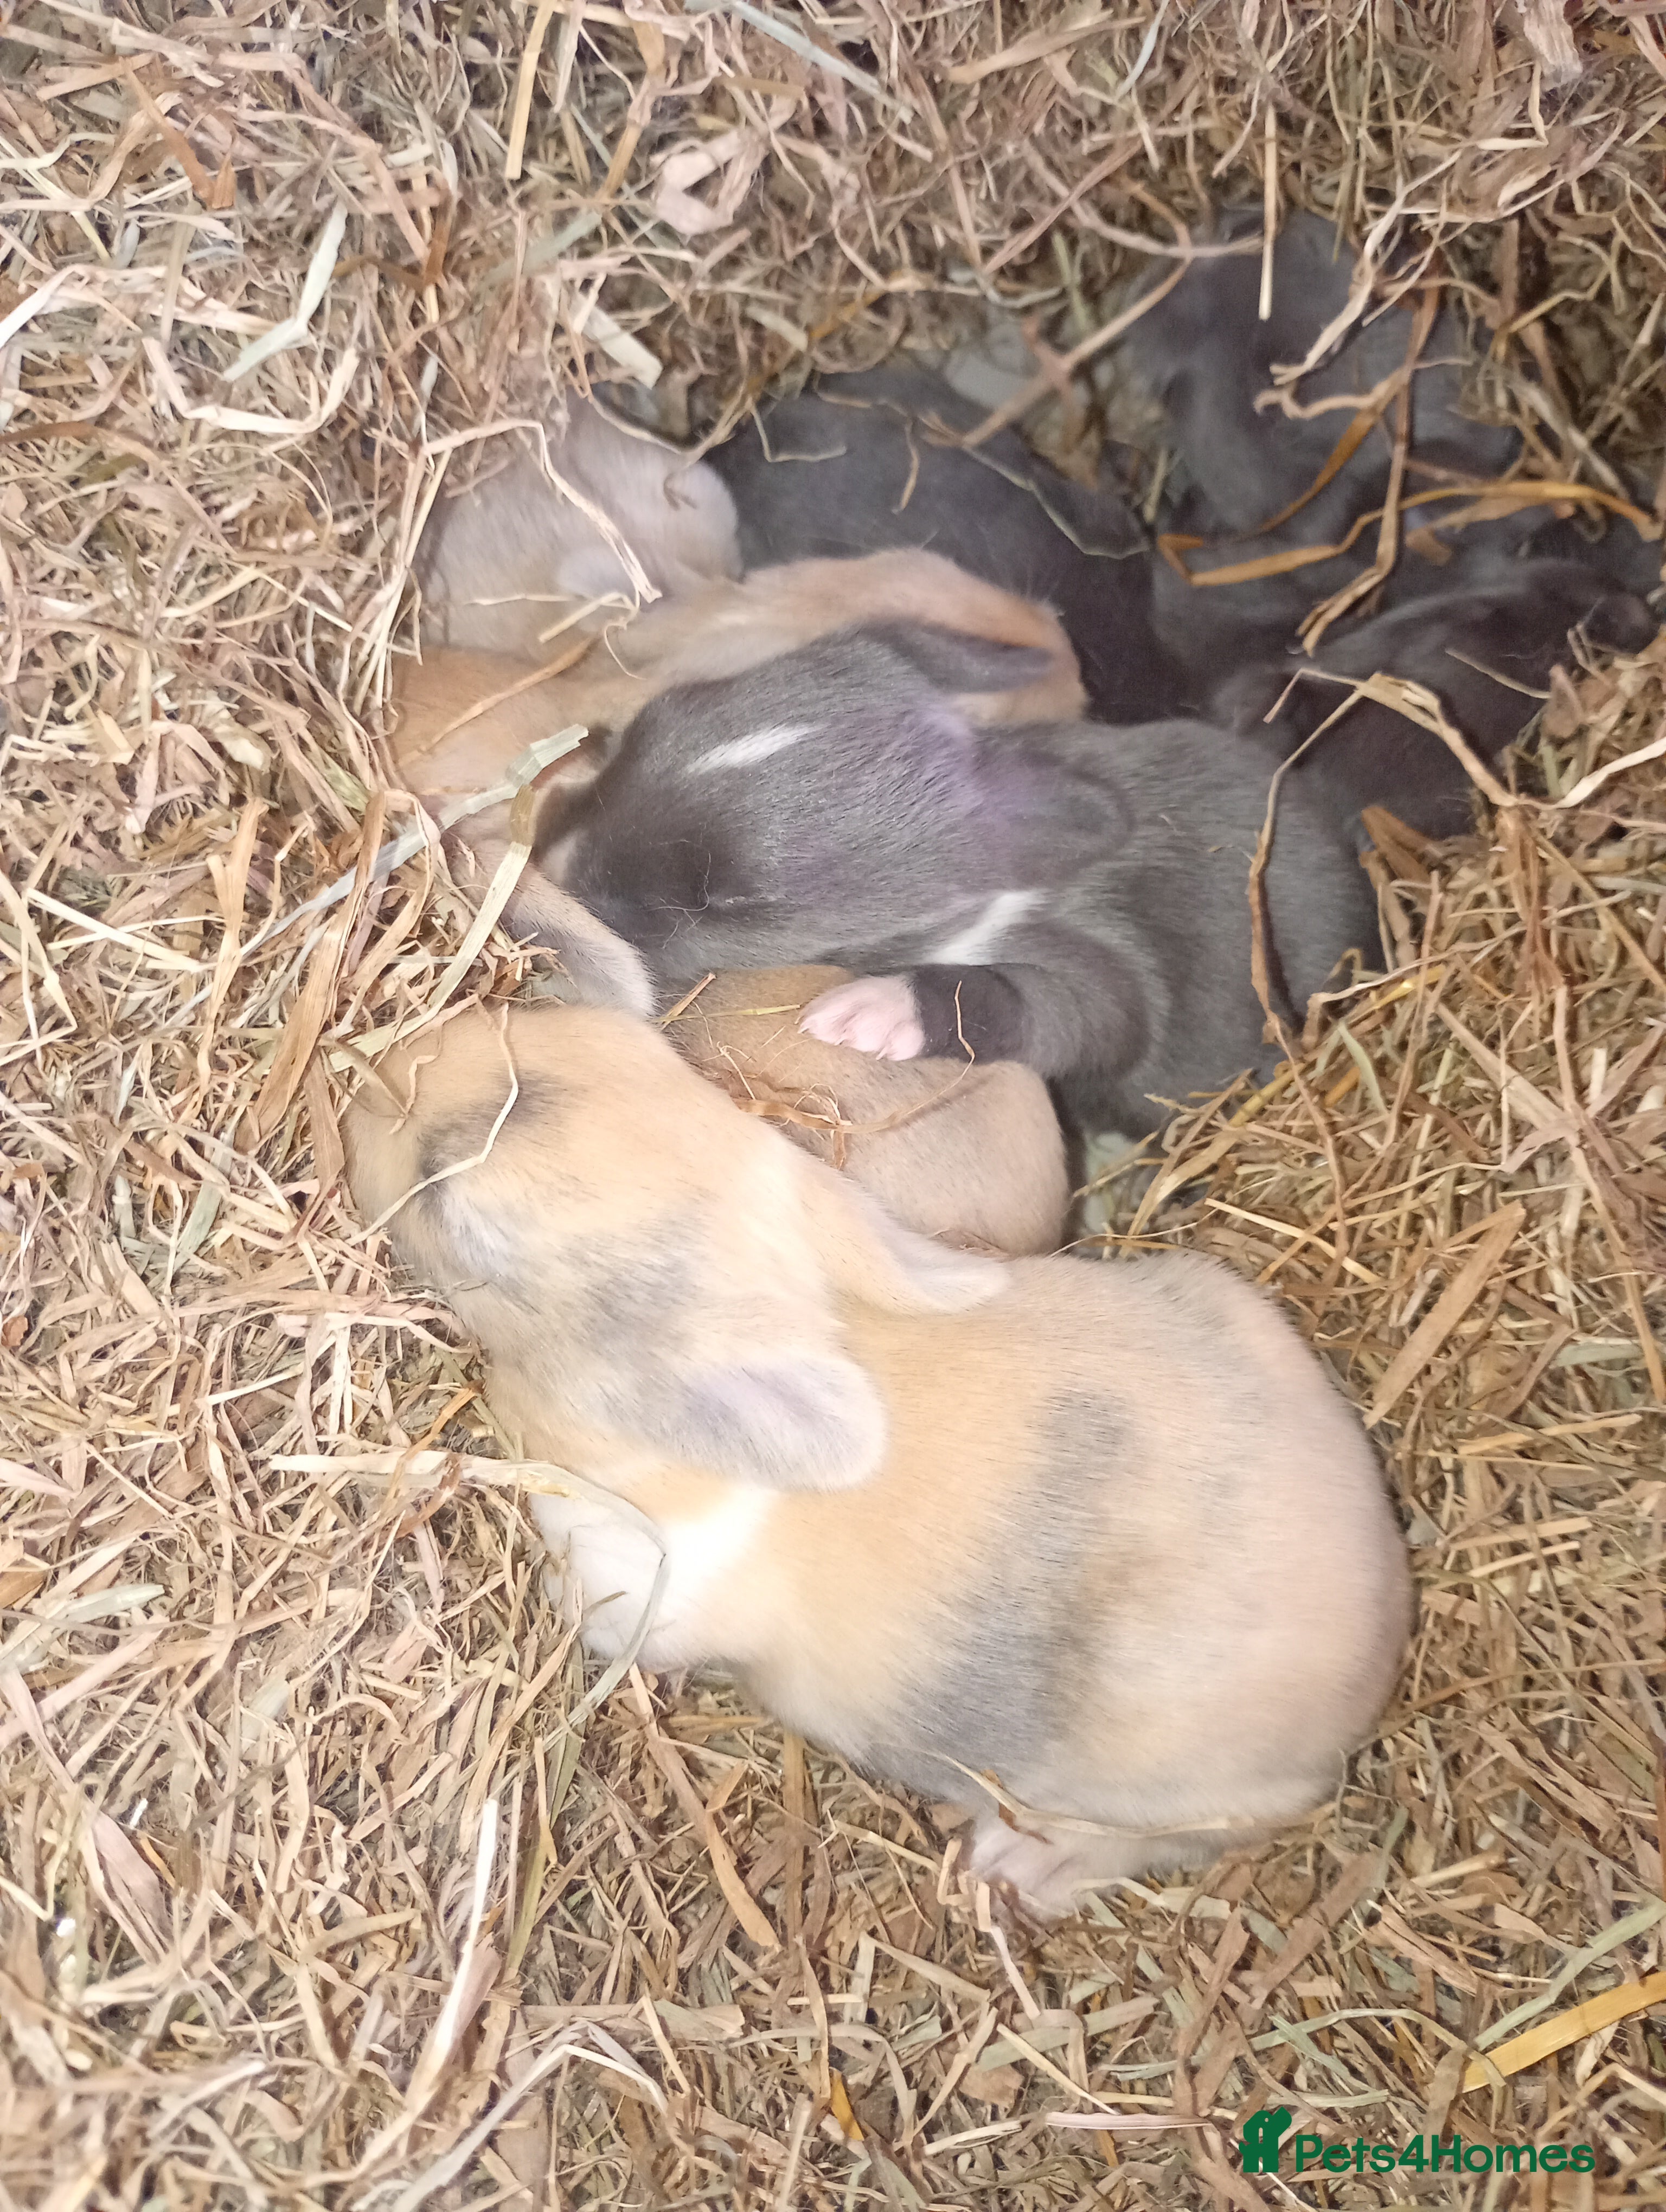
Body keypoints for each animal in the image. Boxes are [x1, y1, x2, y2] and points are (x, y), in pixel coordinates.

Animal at [536, 624, 1381, 1142]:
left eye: (726, 899)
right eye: (651, 722)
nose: (552, 866)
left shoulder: (1101, 966)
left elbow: (1064, 1008)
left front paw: (872, 1013)